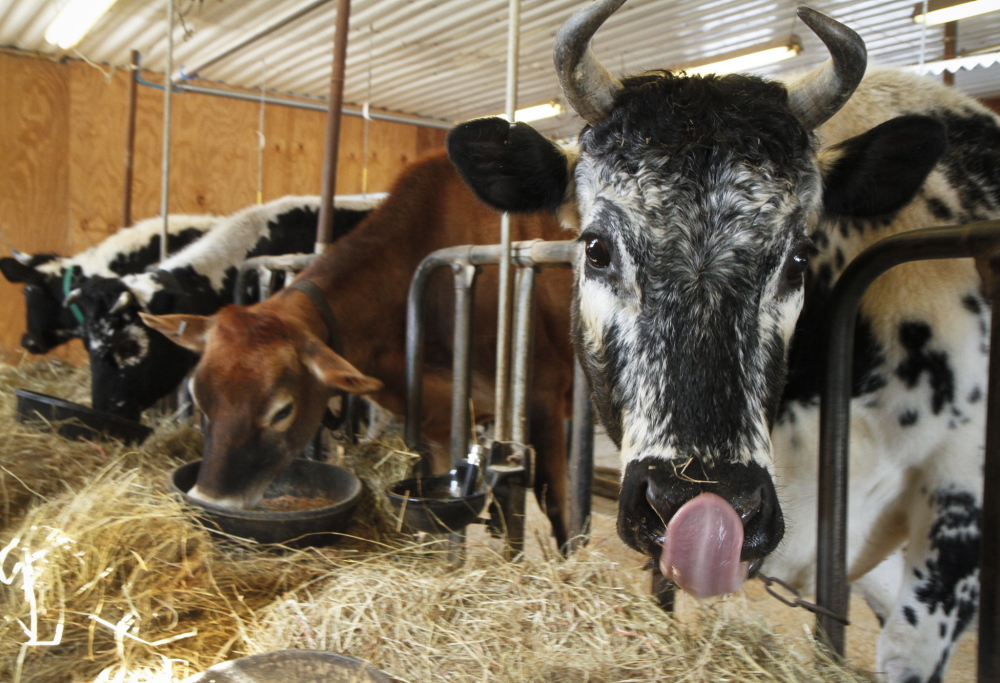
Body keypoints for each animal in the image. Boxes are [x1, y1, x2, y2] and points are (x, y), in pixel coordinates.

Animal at [143, 154, 580, 544]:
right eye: (200, 399)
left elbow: (556, 505)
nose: (211, 502)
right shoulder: (435, 418)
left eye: (282, 411)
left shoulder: (541, 390)